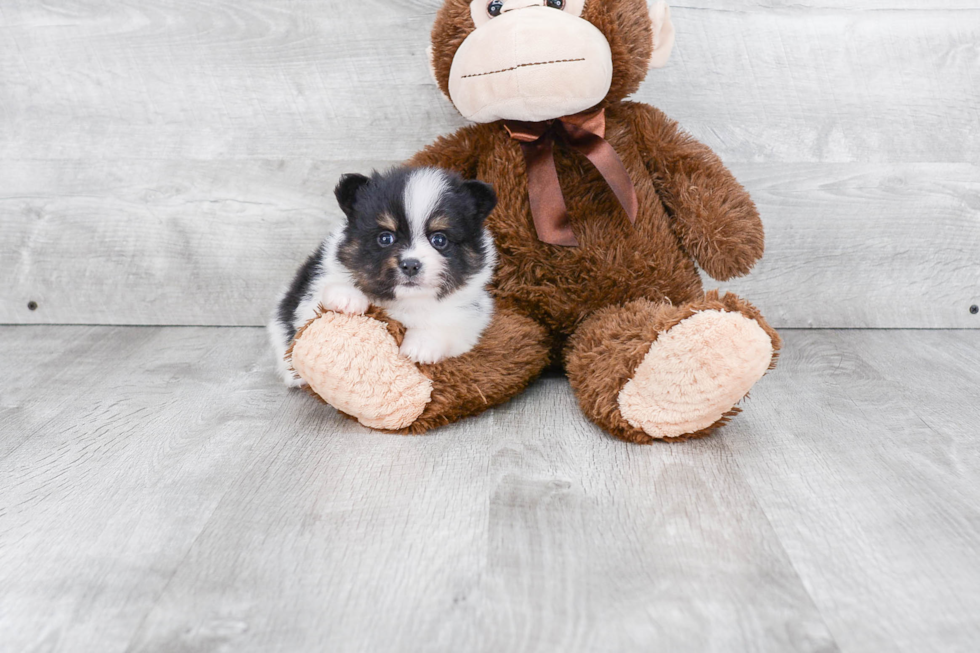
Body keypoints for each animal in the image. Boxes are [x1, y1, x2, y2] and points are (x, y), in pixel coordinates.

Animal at [268, 166, 498, 388]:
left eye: (439, 239)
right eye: (386, 238)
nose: (410, 265)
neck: (406, 302)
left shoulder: (471, 315)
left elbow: (447, 324)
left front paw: (420, 346)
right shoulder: (312, 291)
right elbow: (320, 300)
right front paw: (347, 298)